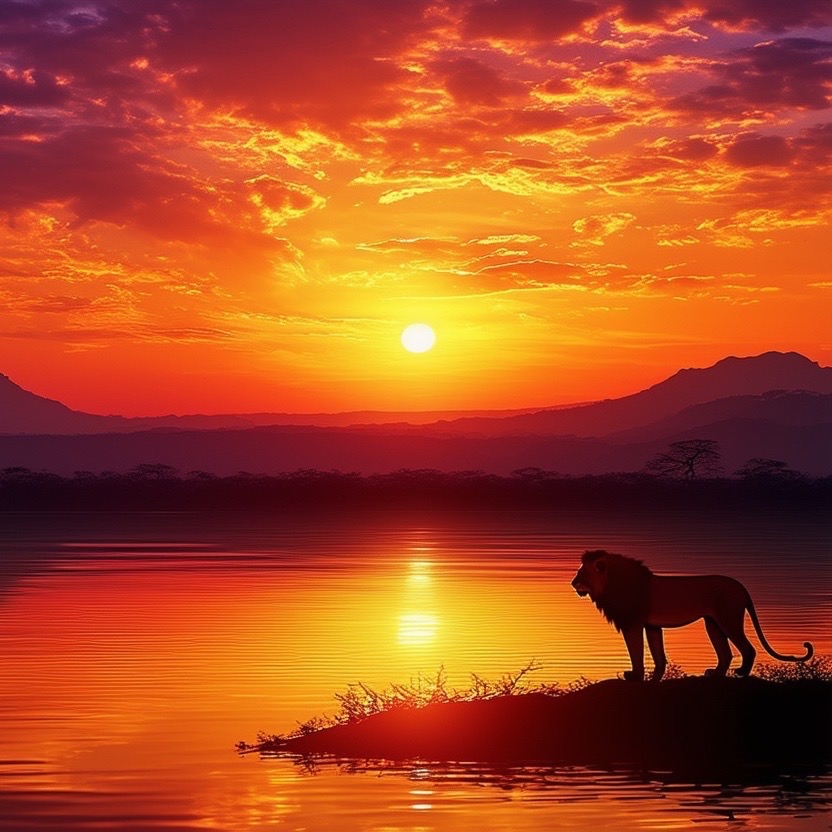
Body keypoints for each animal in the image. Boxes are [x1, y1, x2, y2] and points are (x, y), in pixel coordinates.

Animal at [571, 549, 813, 682]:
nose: (573, 583)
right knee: (725, 653)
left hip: (728, 618)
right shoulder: (652, 625)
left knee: (747, 649)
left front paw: (635, 677)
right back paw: (715, 674)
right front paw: (654, 678)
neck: (612, 585)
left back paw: (741, 673)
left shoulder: (633, 623)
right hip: (712, 623)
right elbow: (658, 656)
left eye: (582, 572)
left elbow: (636, 652)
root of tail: (741, 587)